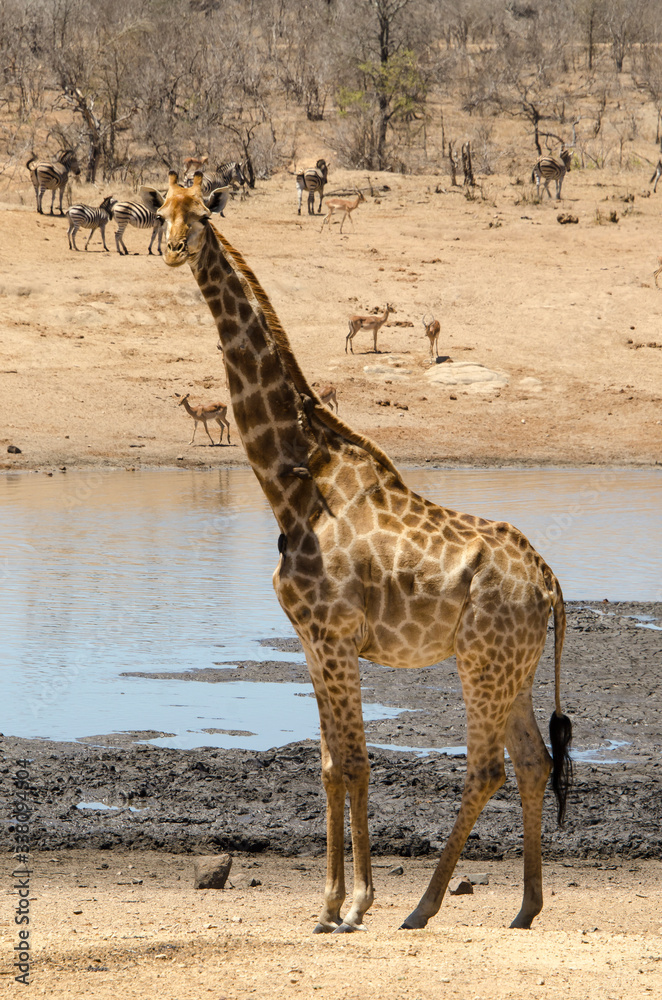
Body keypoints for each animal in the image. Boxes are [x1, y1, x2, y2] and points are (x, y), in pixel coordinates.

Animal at [156, 171, 573, 935]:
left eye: (201, 215)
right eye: (158, 209)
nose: (172, 249)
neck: (292, 482)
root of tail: (551, 581)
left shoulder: (334, 635)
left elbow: (353, 762)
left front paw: (353, 903)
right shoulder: (310, 641)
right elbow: (329, 765)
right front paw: (329, 903)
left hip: (481, 661)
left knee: (487, 768)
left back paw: (421, 906)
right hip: (516, 666)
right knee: (531, 762)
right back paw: (525, 908)